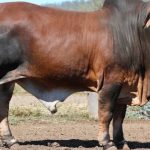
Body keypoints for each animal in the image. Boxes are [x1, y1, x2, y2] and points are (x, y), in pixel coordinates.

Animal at [0, 0, 149, 150]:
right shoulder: (111, 80)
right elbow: (107, 113)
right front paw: (107, 142)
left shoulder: (125, 83)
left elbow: (119, 117)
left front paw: (122, 143)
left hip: (7, 81)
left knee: (4, 106)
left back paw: (11, 140)